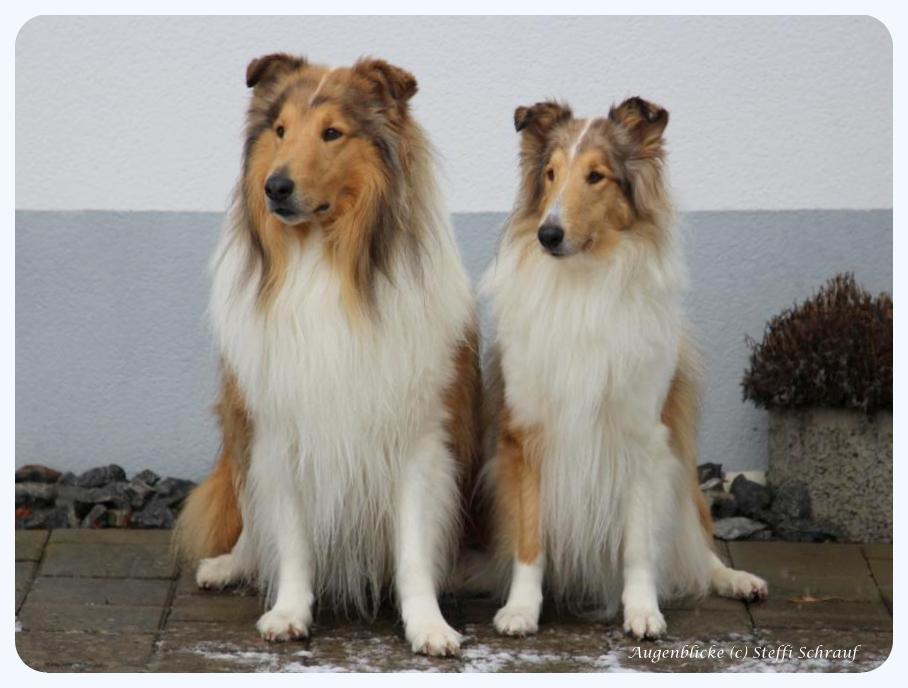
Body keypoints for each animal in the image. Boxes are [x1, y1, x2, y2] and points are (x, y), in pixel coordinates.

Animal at [173, 53, 480, 657]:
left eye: (332, 133)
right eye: (280, 130)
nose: (275, 187)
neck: (322, 260)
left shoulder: (418, 437)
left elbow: (413, 549)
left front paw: (429, 626)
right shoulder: (280, 430)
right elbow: (290, 538)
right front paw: (288, 613)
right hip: (239, 427)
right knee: (253, 520)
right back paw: (228, 565)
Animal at [480, 97, 768, 639]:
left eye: (597, 176)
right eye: (550, 174)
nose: (548, 234)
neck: (583, 285)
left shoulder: (642, 439)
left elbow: (639, 544)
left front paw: (642, 611)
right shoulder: (524, 436)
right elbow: (530, 539)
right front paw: (521, 610)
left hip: (680, 475)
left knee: (697, 544)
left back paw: (737, 579)